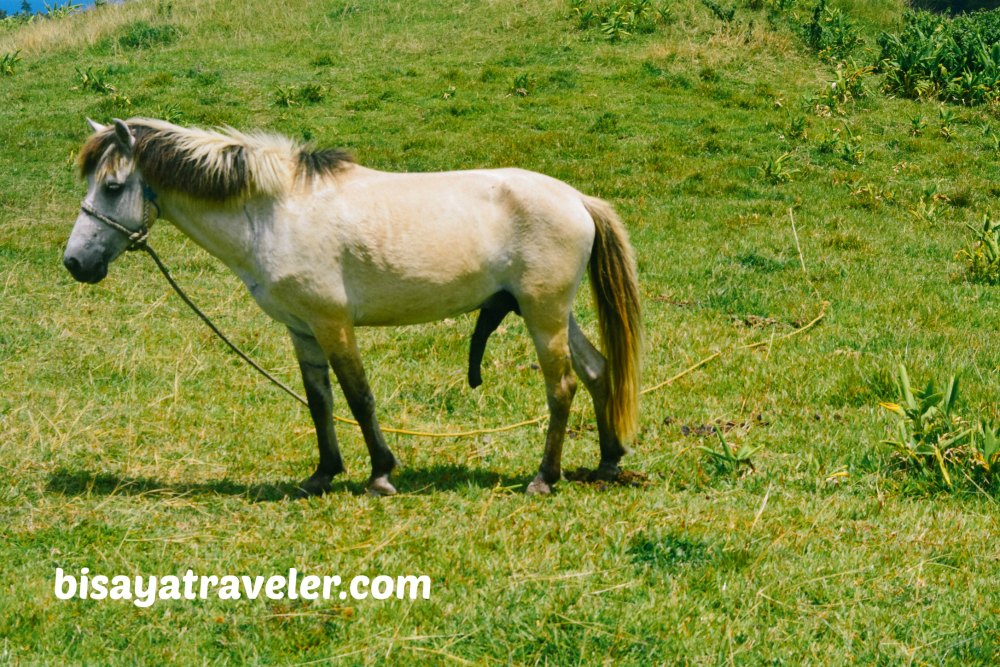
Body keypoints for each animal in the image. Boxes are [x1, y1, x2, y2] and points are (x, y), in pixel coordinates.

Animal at [64, 118, 640, 496]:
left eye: (112, 186)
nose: (75, 262)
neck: (276, 211)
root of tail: (577, 198)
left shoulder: (333, 322)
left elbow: (358, 396)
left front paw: (381, 473)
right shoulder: (302, 330)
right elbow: (319, 400)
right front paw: (322, 474)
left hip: (543, 315)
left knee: (562, 387)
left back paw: (545, 478)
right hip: (550, 312)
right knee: (596, 371)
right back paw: (608, 463)